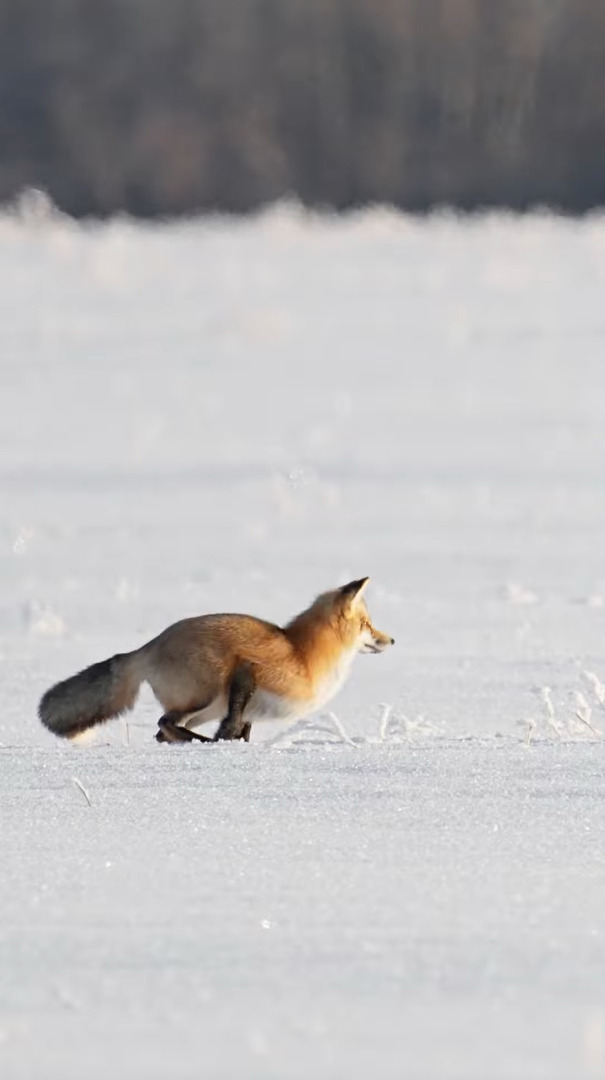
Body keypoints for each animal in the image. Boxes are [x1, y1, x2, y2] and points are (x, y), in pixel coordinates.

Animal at [40, 578, 395, 747]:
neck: (303, 655)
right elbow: (233, 725)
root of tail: (150, 645)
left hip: (205, 708)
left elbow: (243, 729)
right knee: (165, 724)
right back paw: (203, 743)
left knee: (164, 732)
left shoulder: (249, 709)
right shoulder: (247, 673)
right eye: (367, 624)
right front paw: (226, 745)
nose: (391, 641)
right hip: (205, 697)